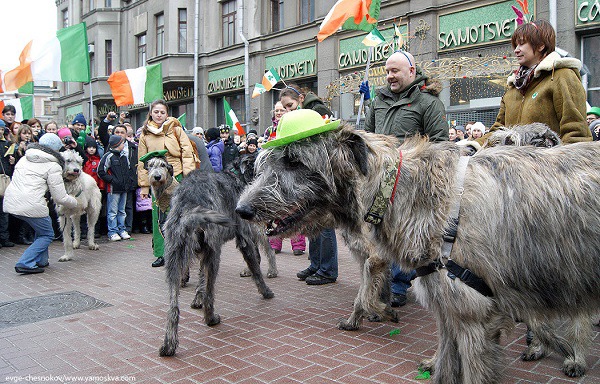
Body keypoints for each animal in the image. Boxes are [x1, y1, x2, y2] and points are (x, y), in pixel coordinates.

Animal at [157, 155, 274, 356]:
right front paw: (265, 291)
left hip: (174, 257)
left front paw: (196, 298)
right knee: (210, 294)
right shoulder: (244, 238)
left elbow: (201, 279)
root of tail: (189, 203)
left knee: (173, 307)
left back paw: (169, 344)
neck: (236, 176)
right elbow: (255, 269)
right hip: (214, 253)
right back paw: (211, 318)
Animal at [238, 124, 600, 384]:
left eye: (295, 162)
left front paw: (371, 313)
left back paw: (574, 357)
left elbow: (365, 293)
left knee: (577, 317)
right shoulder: (448, 307)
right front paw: (376, 313)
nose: (242, 209)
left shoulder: (473, 316)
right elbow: (444, 361)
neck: (396, 188)